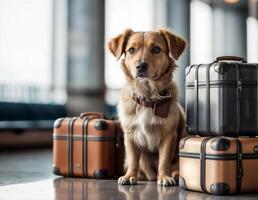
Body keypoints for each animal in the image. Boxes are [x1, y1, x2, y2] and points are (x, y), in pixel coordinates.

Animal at [108, 28, 186, 186]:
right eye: (131, 50)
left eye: (156, 49)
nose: (140, 66)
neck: (148, 97)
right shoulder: (130, 135)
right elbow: (133, 160)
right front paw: (129, 176)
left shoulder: (168, 135)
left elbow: (164, 160)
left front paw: (164, 177)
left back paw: (174, 175)